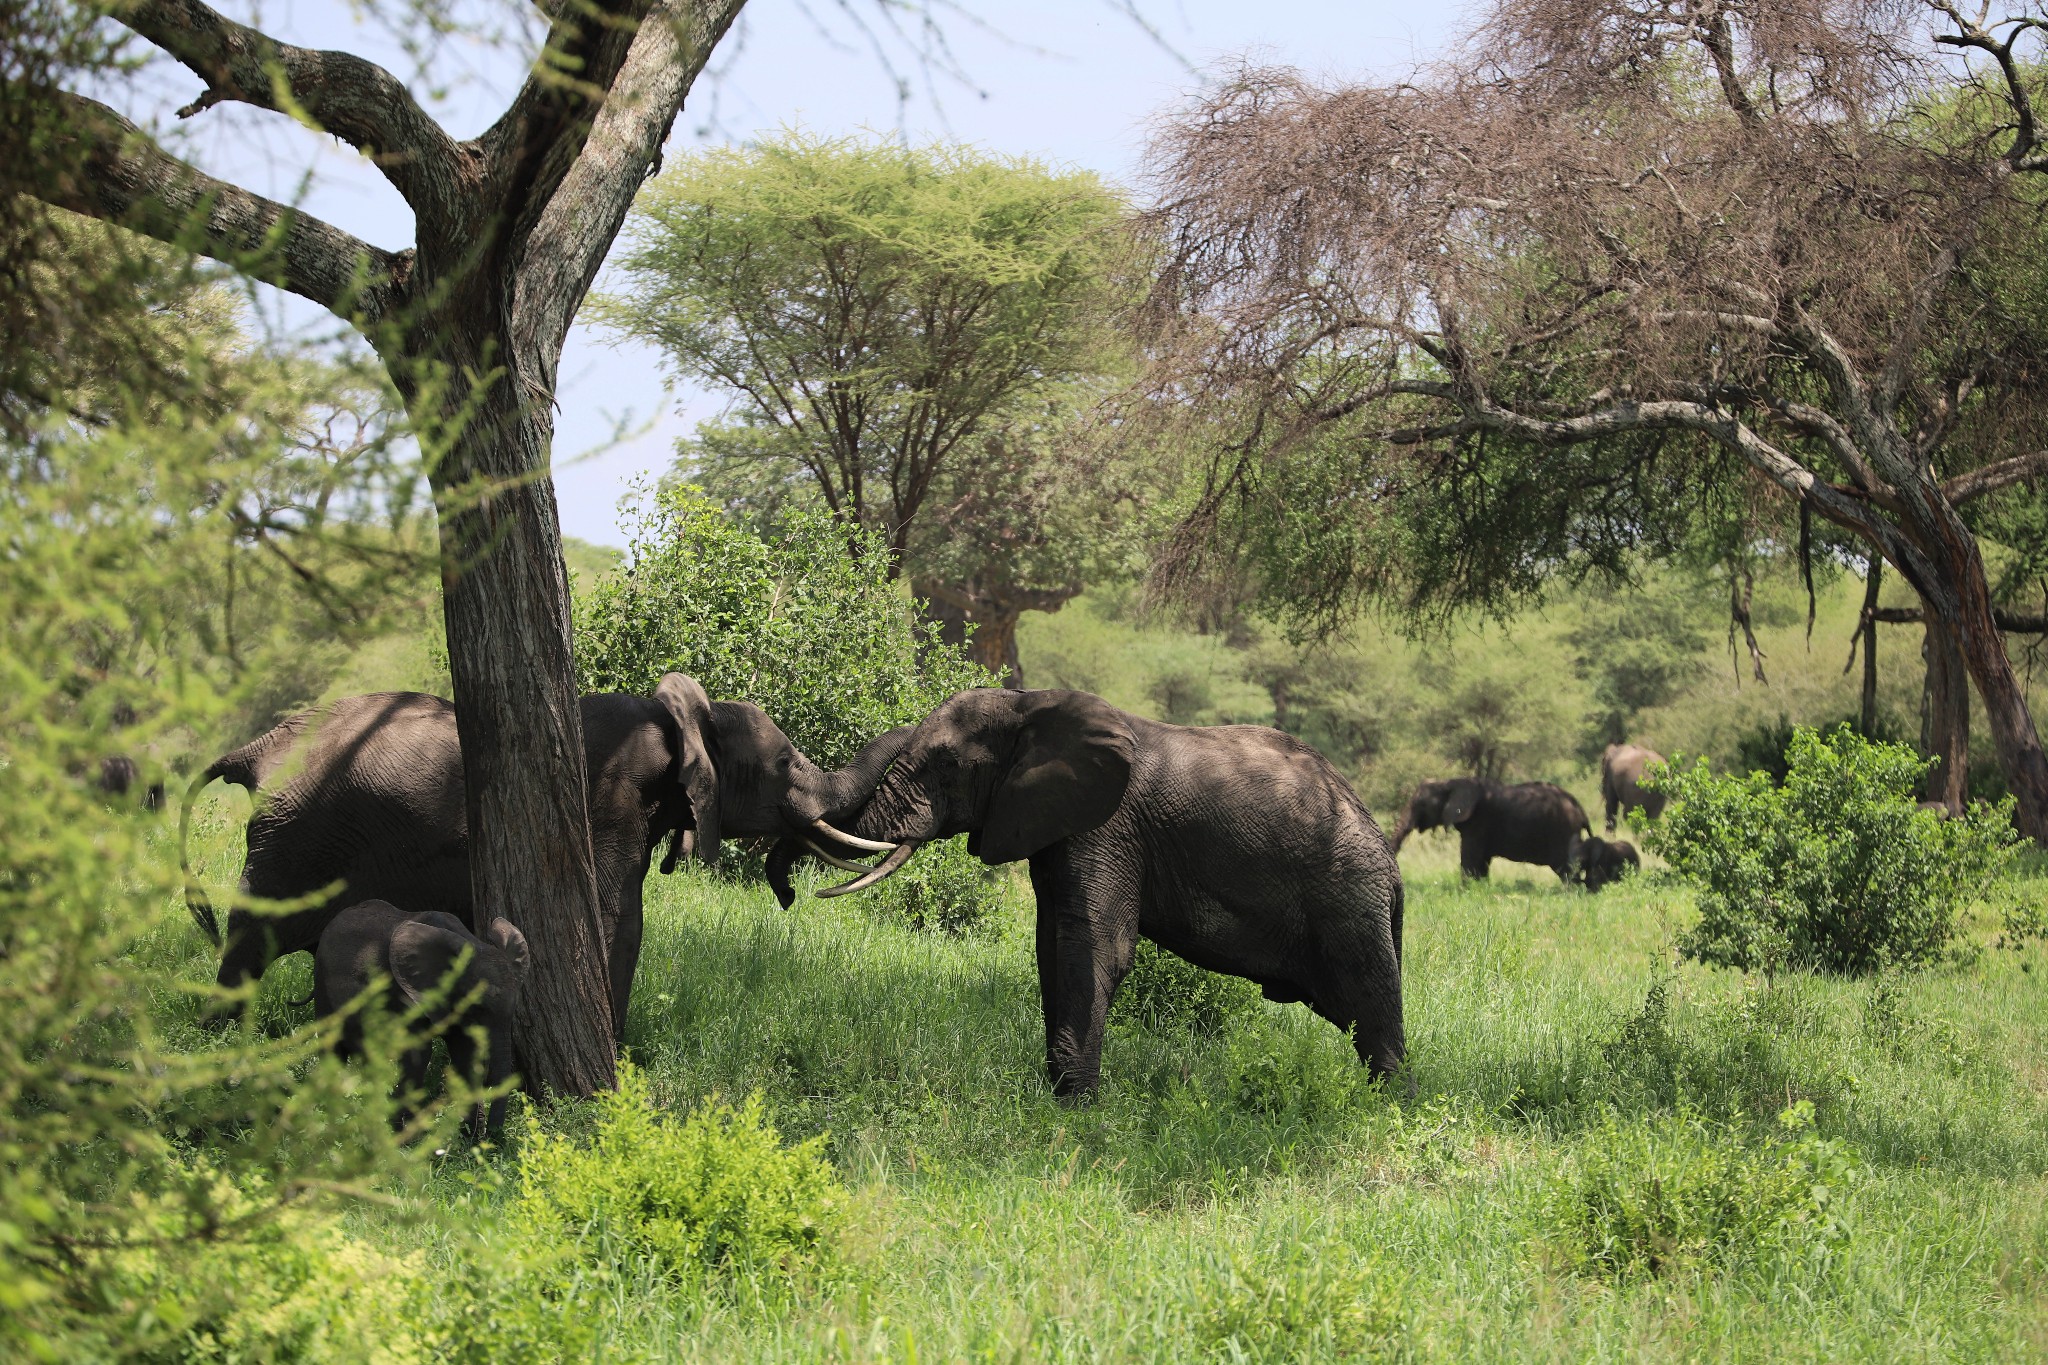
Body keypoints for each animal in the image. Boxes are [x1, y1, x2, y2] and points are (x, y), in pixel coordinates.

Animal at [313, 900, 528, 1137]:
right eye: (479, 1007)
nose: (492, 1137)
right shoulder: (405, 992)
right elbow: (418, 1052)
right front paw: (401, 1137)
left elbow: (466, 1053)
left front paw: (470, 1138)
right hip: (321, 981)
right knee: (332, 1046)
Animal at [815, 683, 1409, 1096]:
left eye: (946, 764)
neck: (1030, 704)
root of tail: (1388, 858)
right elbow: (1052, 946)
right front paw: (1059, 1098)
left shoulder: (1107, 827)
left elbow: (1096, 946)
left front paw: (1077, 1109)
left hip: (1348, 897)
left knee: (1369, 1006)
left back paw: (1387, 1111)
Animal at [1384, 777, 1589, 888]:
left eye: (1421, 804)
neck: (1450, 782)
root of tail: (1580, 809)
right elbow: (1481, 861)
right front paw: (1479, 886)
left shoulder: (1479, 820)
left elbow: (1470, 858)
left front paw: (1466, 889)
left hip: (1562, 834)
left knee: (1567, 869)